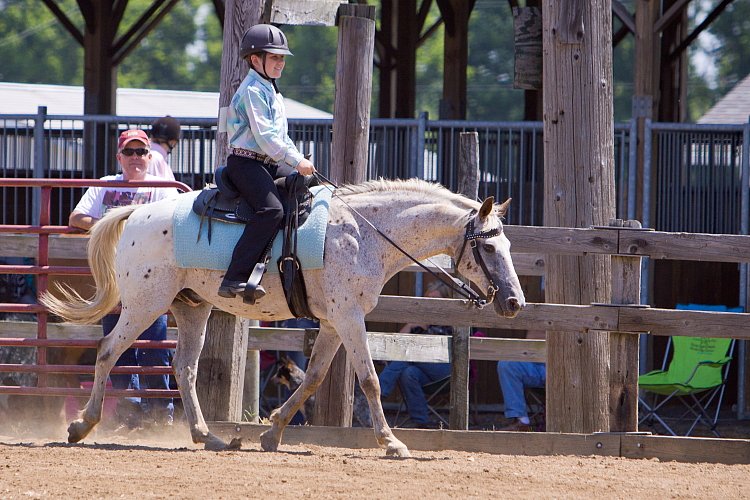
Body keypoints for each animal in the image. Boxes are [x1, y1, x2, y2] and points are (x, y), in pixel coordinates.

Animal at [39, 179, 524, 458]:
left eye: (507, 245)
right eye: (488, 246)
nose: (515, 302)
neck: (365, 232)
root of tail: (136, 211)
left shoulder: (333, 322)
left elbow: (312, 378)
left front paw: (272, 434)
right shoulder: (349, 317)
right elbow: (368, 380)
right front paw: (393, 443)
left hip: (190, 307)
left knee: (185, 368)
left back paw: (208, 437)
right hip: (144, 304)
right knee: (107, 351)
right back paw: (81, 425)